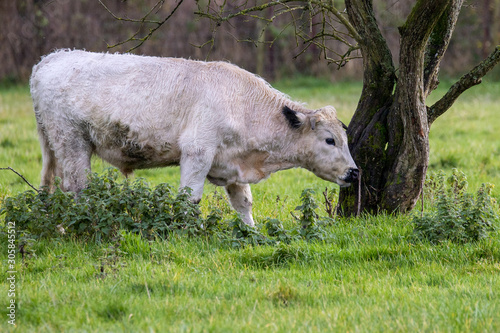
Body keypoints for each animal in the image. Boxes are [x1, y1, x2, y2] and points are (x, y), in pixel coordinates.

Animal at [29, 49, 358, 226]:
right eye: (330, 140)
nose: (354, 173)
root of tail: (51, 58)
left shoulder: (231, 163)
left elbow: (244, 202)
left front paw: (251, 232)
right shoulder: (197, 152)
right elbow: (189, 199)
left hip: (56, 146)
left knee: (54, 184)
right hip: (72, 141)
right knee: (78, 187)